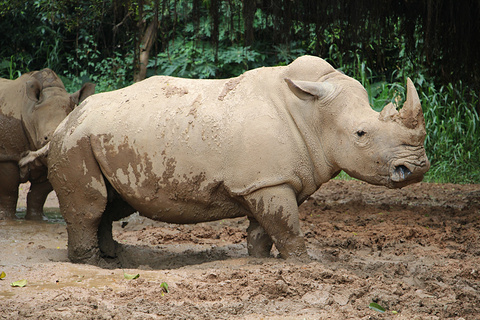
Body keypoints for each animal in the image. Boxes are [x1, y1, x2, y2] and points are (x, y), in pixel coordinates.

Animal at [0, 69, 94, 220]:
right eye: (45, 138)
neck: (30, 112)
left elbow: (38, 194)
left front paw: (37, 219)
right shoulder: (7, 154)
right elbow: (9, 190)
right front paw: (7, 219)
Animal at [47, 55, 432, 264]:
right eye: (361, 134)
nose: (416, 168)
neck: (312, 112)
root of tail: (68, 117)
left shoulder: (272, 179)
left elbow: (267, 227)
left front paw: (260, 261)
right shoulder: (269, 181)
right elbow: (288, 227)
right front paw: (305, 264)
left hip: (99, 136)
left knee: (113, 203)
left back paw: (112, 257)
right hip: (74, 141)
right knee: (92, 205)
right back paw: (92, 265)